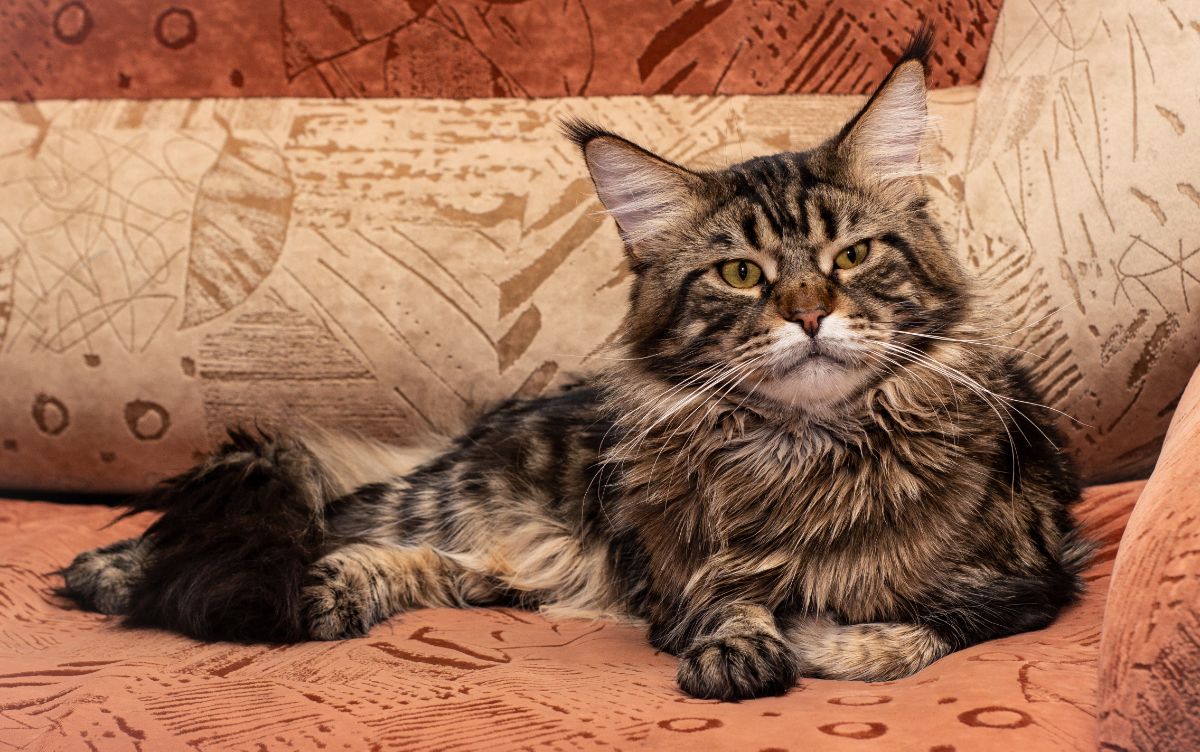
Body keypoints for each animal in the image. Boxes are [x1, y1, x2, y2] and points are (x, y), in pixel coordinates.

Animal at [58, 25, 1089, 705]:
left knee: (406, 560)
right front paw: (747, 643)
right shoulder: (676, 579)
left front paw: (812, 639)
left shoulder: (1026, 587)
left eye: (853, 256)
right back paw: (110, 572)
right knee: (319, 509)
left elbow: (900, 641)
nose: (807, 314)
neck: (803, 453)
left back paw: (358, 591)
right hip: (453, 494)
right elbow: (727, 604)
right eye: (741, 274)